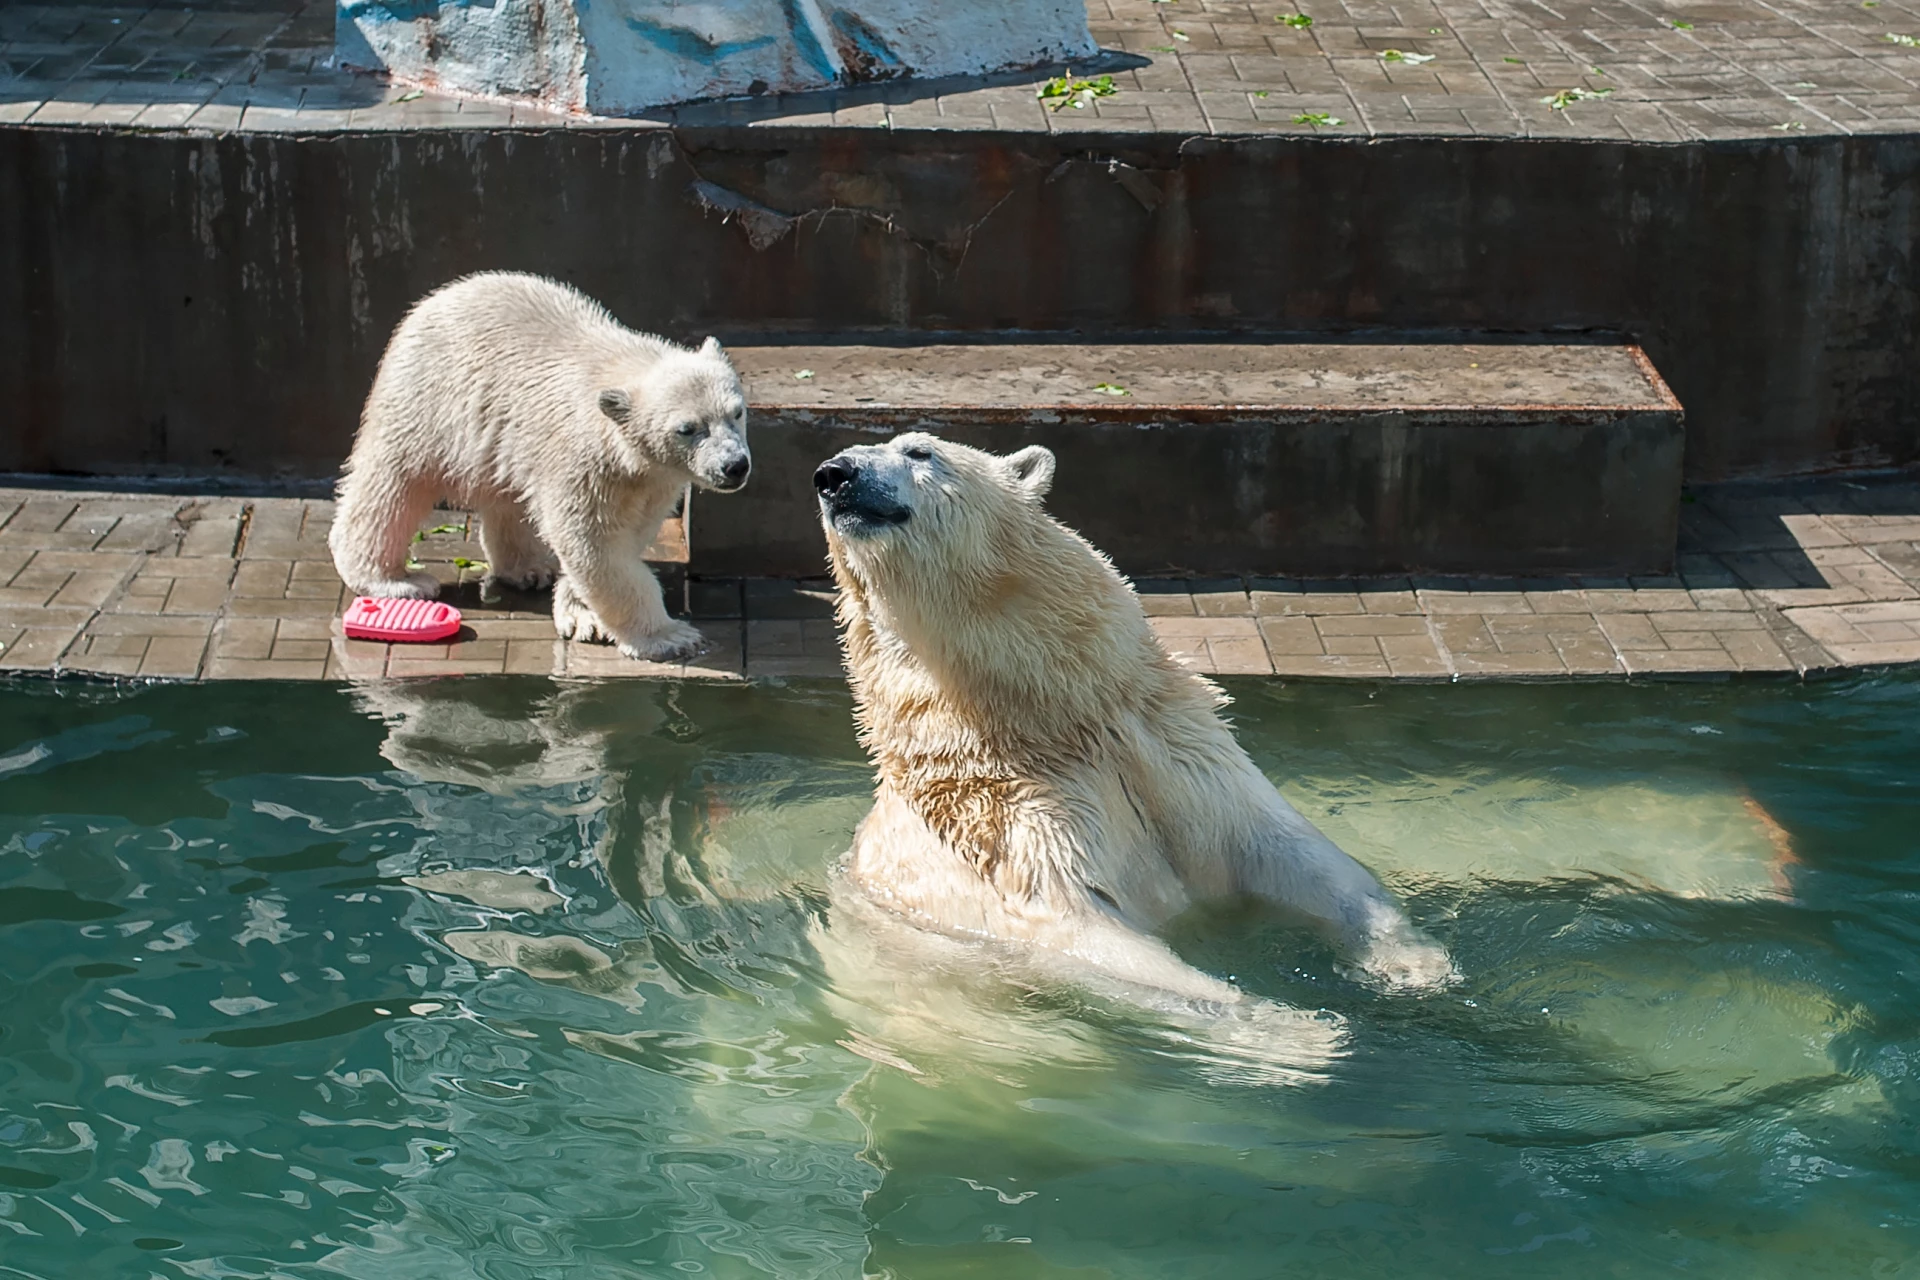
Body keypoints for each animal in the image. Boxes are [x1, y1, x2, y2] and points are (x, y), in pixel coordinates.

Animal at [330, 276, 748, 667]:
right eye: (688, 428)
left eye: (738, 411)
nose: (735, 466)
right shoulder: (583, 457)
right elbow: (594, 542)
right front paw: (670, 637)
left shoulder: (653, 477)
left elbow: (626, 537)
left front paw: (579, 613)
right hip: (429, 400)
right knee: (395, 485)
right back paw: (394, 580)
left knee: (508, 494)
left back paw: (530, 568)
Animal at [814, 433, 1451, 1028]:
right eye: (834, 467)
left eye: (919, 451)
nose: (834, 474)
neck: (1046, 722)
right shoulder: (1003, 831)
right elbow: (1079, 932)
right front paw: (1288, 1025)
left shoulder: (1174, 750)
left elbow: (1288, 851)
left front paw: (1413, 965)